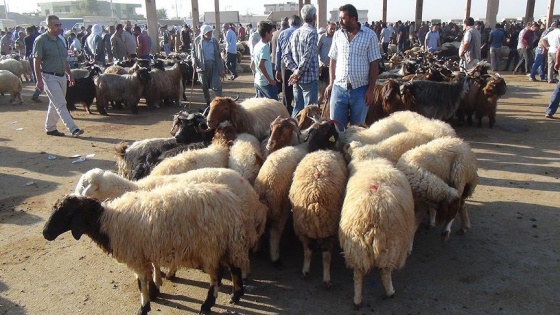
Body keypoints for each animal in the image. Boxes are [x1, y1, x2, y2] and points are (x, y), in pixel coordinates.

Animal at [44, 183, 250, 315]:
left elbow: (141, 282)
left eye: (66, 213)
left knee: (216, 276)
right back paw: (236, 295)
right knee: (235, 268)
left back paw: (207, 305)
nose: (46, 233)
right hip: (227, 243)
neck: (107, 222)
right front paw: (154, 293)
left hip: (210, 246)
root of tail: (232, 202)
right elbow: (148, 276)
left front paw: (144, 307)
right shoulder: (145, 253)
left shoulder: (135, 255)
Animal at [336, 157, 416, 310]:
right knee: (385, 272)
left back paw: (357, 300)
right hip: (391, 245)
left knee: (358, 274)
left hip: (356, 247)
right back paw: (390, 292)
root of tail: (373, 210)